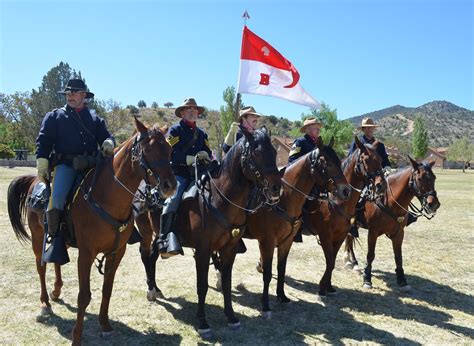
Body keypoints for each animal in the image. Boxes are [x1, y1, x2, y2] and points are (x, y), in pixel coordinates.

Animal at [6, 117, 178, 344]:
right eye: (147, 150)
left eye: (169, 149)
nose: (170, 185)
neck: (106, 198)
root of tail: (36, 181)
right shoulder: (86, 254)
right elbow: (84, 296)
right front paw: (77, 336)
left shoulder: (116, 252)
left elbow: (107, 289)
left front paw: (105, 324)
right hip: (38, 236)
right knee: (40, 266)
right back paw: (45, 305)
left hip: (59, 239)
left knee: (56, 259)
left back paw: (56, 290)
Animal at [133, 127, 282, 338]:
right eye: (258, 152)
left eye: (275, 153)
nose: (277, 188)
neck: (221, 198)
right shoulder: (203, 251)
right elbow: (202, 286)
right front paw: (203, 322)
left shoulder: (229, 249)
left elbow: (227, 282)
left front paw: (231, 317)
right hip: (146, 232)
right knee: (146, 256)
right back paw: (151, 291)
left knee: (152, 256)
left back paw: (156, 289)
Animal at [243, 137, 350, 318]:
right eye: (327, 163)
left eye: (339, 161)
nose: (346, 190)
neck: (283, 199)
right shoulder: (267, 242)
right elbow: (268, 274)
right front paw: (265, 305)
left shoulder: (287, 241)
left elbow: (281, 269)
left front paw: (281, 296)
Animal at [302, 137, 386, 296]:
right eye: (366, 159)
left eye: (380, 159)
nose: (381, 185)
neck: (337, 201)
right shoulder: (325, 235)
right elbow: (329, 261)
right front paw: (322, 287)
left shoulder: (340, 235)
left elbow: (332, 261)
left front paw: (328, 286)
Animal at [340, 156, 440, 290]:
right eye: (420, 178)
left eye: (434, 177)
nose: (434, 204)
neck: (389, 201)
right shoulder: (373, 232)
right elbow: (370, 255)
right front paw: (367, 279)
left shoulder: (399, 233)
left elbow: (398, 256)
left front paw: (402, 279)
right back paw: (352, 262)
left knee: (350, 238)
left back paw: (352, 262)